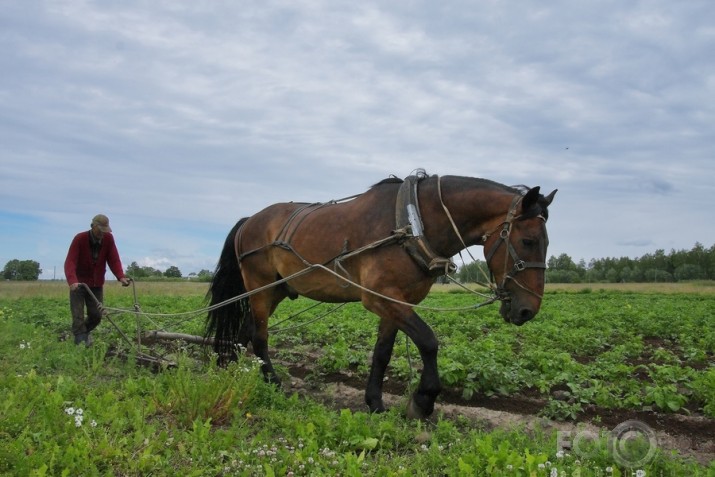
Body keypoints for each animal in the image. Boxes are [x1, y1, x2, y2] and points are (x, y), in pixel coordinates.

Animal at [204, 172, 556, 416]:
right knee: (260, 336)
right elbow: (429, 341)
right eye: (528, 240)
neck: (413, 222)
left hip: (276, 289)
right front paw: (423, 400)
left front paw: (374, 402)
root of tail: (250, 220)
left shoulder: (398, 302)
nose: (528, 310)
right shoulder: (381, 298)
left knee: (245, 332)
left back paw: (231, 370)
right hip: (259, 287)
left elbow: (382, 353)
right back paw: (272, 382)